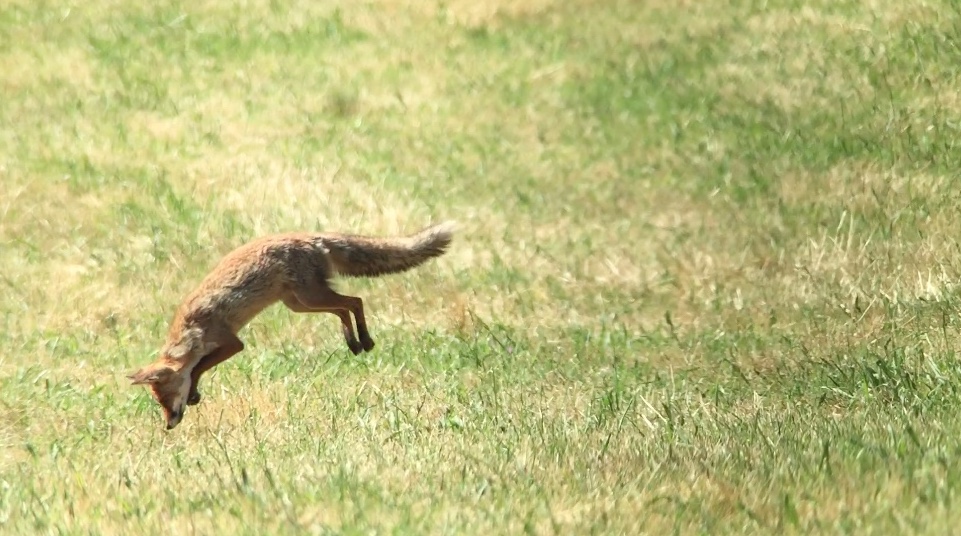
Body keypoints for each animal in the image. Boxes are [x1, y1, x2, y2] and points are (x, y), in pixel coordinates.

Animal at [128, 220, 455, 430]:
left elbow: (197, 368)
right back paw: (353, 343)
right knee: (345, 307)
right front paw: (195, 393)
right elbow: (196, 369)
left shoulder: (232, 342)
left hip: (309, 298)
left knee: (355, 301)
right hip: (300, 304)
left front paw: (195, 391)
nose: (169, 426)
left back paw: (364, 340)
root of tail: (313, 236)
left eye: (165, 400)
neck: (189, 330)